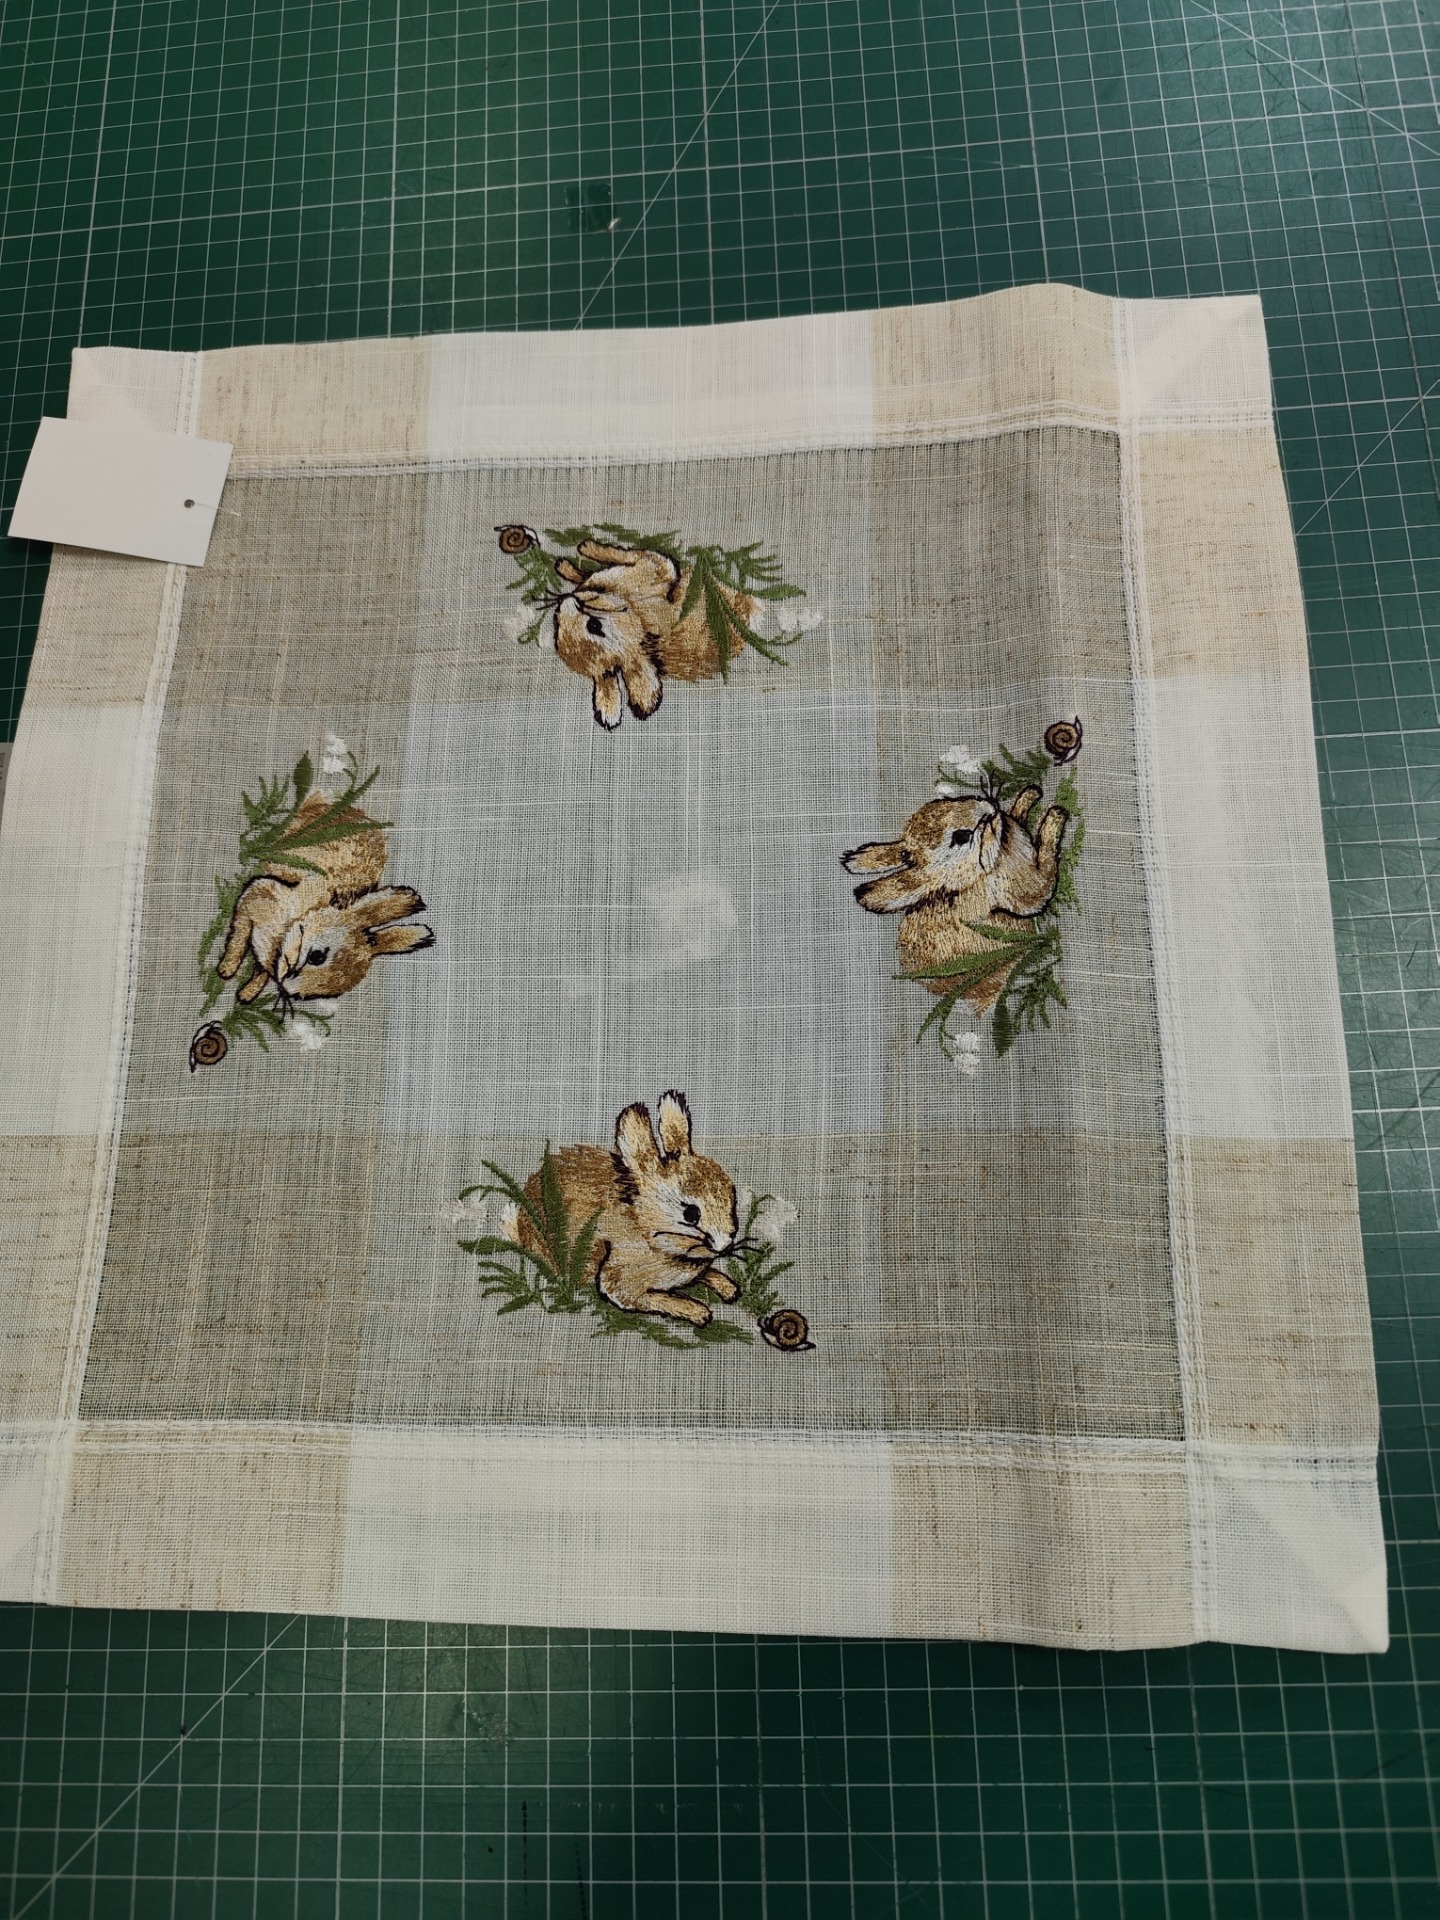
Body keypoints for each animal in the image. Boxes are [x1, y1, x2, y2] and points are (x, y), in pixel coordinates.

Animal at [216, 791, 434, 1010]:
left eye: (309, 996)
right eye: (317, 956)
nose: (286, 989)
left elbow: (260, 971)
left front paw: (246, 994)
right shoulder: (255, 896)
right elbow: (239, 936)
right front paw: (226, 969)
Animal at [514, 1090, 743, 1325]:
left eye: (733, 1198)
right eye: (690, 1214)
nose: (725, 1246)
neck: (646, 1232)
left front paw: (728, 1288)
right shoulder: (620, 1280)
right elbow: (650, 1298)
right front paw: (697, 1311)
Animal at [551, 540, 757, 729]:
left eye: (594, 625)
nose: (565, 600)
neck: (634, 610)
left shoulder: (654, 566)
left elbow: (621, 555)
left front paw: (583, 549)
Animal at [842, 787, 1068, 1014]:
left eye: (954, 799)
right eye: (961, 837)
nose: (990, 808)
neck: (973, 874)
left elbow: (1015, 814)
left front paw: (1029, 795)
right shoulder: (1021, 888)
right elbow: (1043, 881)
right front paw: (1055, 818)